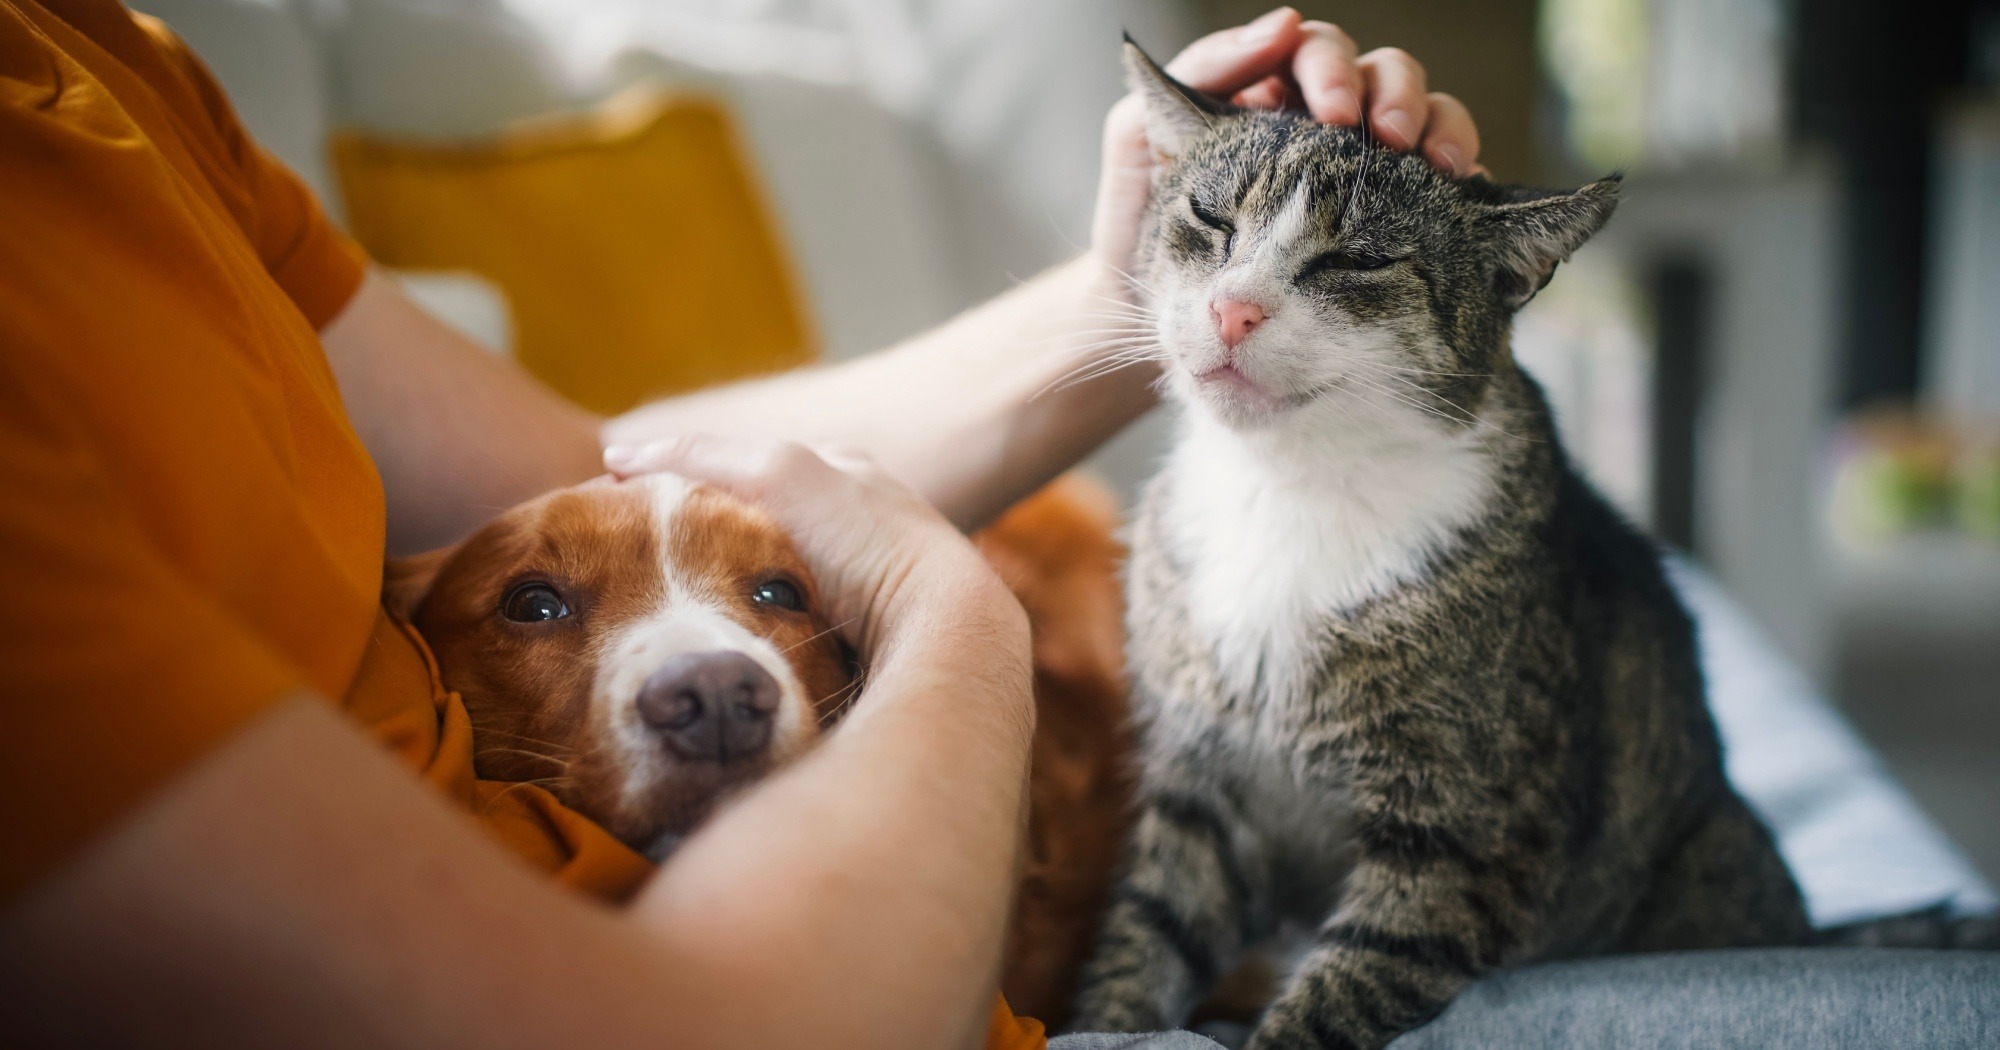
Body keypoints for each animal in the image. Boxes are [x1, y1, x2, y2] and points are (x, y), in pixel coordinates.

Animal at [1080, 43, 1816, 1048]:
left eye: (1356, 259)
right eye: (1210, 217)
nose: (1233, 311)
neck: (1293, 487)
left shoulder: (1466, 837)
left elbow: (1342, 990)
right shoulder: (1200, 791)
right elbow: (1144, 941)